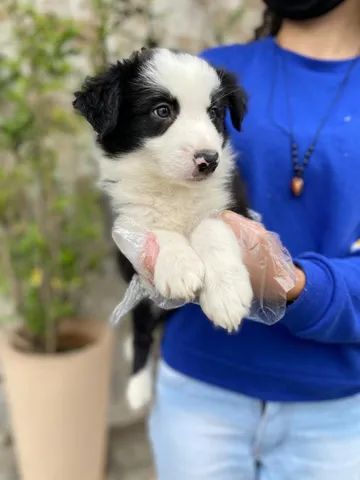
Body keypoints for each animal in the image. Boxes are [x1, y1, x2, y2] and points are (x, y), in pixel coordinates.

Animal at [73, 47, 253, 408]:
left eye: (214, 113)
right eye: (162, 111)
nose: (209, 160)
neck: (172, 188)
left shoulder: (235, 206)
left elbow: (210, 227)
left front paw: (227, 295)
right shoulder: (125, 229)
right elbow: (151, 224)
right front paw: (181, 267)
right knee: (143, 329)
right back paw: (138, 383)